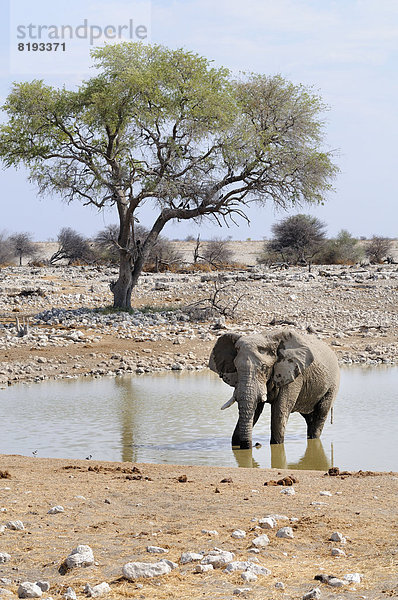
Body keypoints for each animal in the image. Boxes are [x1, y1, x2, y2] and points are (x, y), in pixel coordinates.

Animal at [208, 328, 338, 450]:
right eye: (236, 367)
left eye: (264, 368)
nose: (256, 444)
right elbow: (255, 410)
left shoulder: (292, 374)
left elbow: (279, 411)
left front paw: (276, 444)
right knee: (309, 416)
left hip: (333, 384)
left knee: (321, 411)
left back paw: (314, 437)